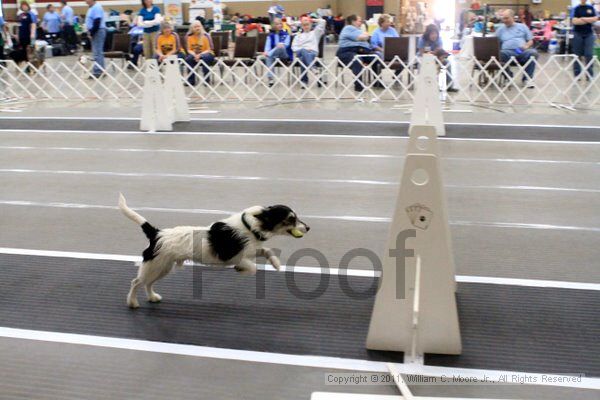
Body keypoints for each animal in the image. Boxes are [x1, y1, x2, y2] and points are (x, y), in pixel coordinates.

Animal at [119, 195, 312, 310]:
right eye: (291, 219)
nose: (308, 228)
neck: (250, 227)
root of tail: (156, 233)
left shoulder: (252, 249)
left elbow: (265, 250)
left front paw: (275, 263)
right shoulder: (237, 257)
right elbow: (252, 267)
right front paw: (241, 270)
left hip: (162, 267)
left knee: (147, 284)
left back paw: (152, 297)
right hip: (155, 266)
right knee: (136, 282)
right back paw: (132, 302)